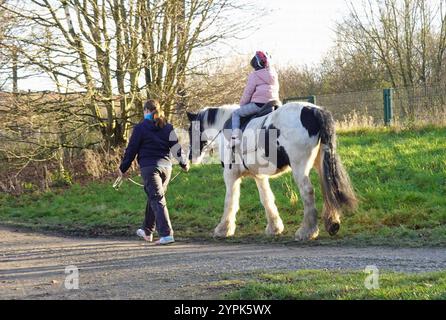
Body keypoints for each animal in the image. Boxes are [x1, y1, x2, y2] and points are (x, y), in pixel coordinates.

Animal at [186, 102, 358, 240]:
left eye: (190, 130)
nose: (189, 158)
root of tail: (314, 110)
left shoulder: (230, 175)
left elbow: (230, 201)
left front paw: (223, 229)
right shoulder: (259, 176)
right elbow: (267, 198)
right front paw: (275, 227)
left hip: (299, 167)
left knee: (308, 192)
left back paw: (307, 231)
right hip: (321, 163)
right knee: (328, 189)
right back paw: (332, 224)